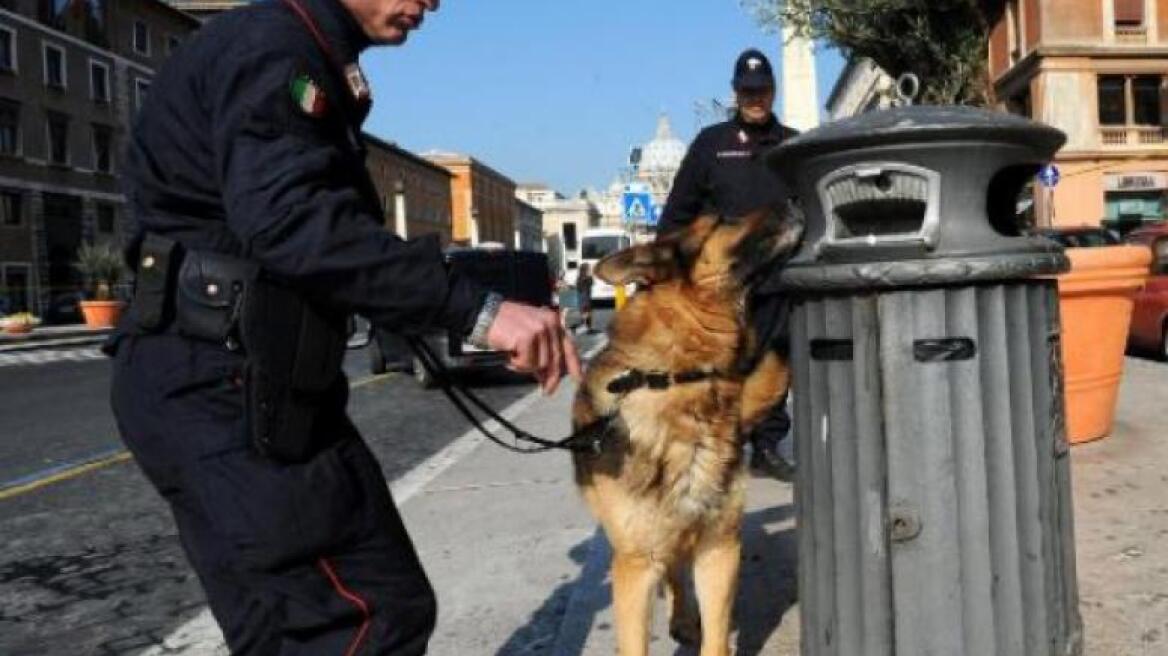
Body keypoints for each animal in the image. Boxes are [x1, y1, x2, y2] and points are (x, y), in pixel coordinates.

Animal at [572, 210, 803, 653]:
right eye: (724, 219)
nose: (795, 201)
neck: (680, 377)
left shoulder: (719, 548)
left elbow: (717, 639)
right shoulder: (635, 567)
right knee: (672, 567)